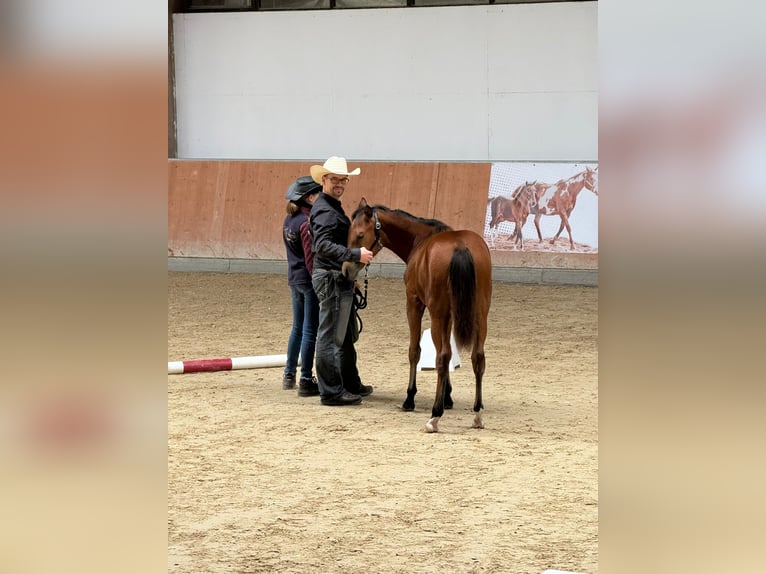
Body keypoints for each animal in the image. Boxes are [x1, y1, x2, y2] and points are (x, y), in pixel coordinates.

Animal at [342, 199, 492, 433]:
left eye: (359, 234)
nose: (347, 270)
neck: (421, 240)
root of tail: (460, 247)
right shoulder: (450, 314)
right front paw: (447, 397)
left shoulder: (414, 303)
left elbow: (415, 350)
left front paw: (410, 398)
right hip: (479, 314)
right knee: (477, 357)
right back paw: (477, 414)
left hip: (439, 313)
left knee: (443, 357)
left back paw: (435, 416)